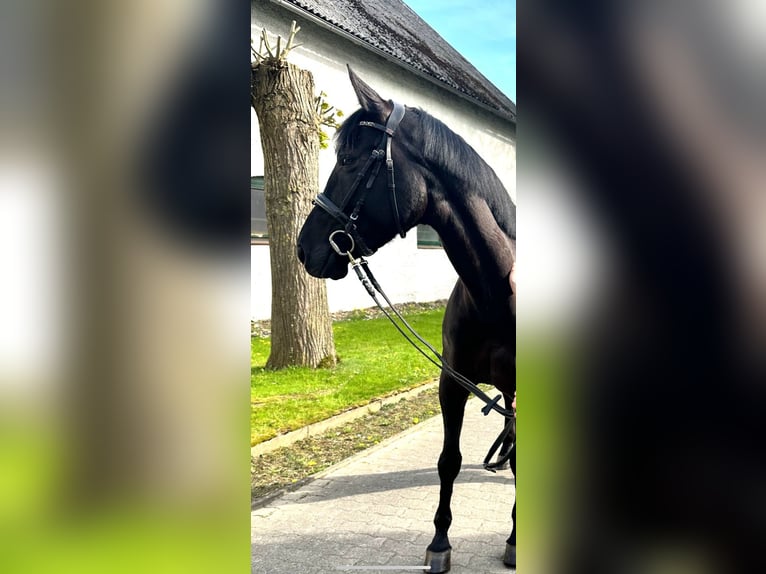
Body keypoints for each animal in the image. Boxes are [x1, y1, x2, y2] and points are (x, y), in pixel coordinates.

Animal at [297, 66, 516, 572]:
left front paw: (515, 539)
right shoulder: (452, 382)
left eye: (351, 160)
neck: (498, 296)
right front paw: (439, 543)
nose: (304, 247)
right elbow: (448, 460)